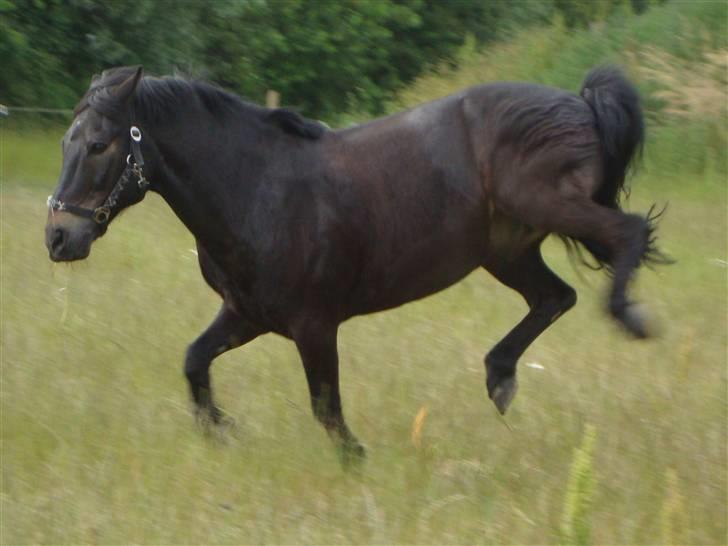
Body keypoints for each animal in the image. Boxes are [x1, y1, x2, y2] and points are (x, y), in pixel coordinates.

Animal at [42, 65, 664, 460]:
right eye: (66, 141)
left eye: (98, 145)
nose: (58, 237)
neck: (256, 188)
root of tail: (580, 102)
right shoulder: (248, 314)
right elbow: (194, 361)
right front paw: (221, 431)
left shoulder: (314, 324)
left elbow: (327, 409)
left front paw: (357, 460)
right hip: (507, 250)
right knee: (555, 297)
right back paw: (500, 379)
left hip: (547, 206)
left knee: (628, 235)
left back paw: (632, 320)